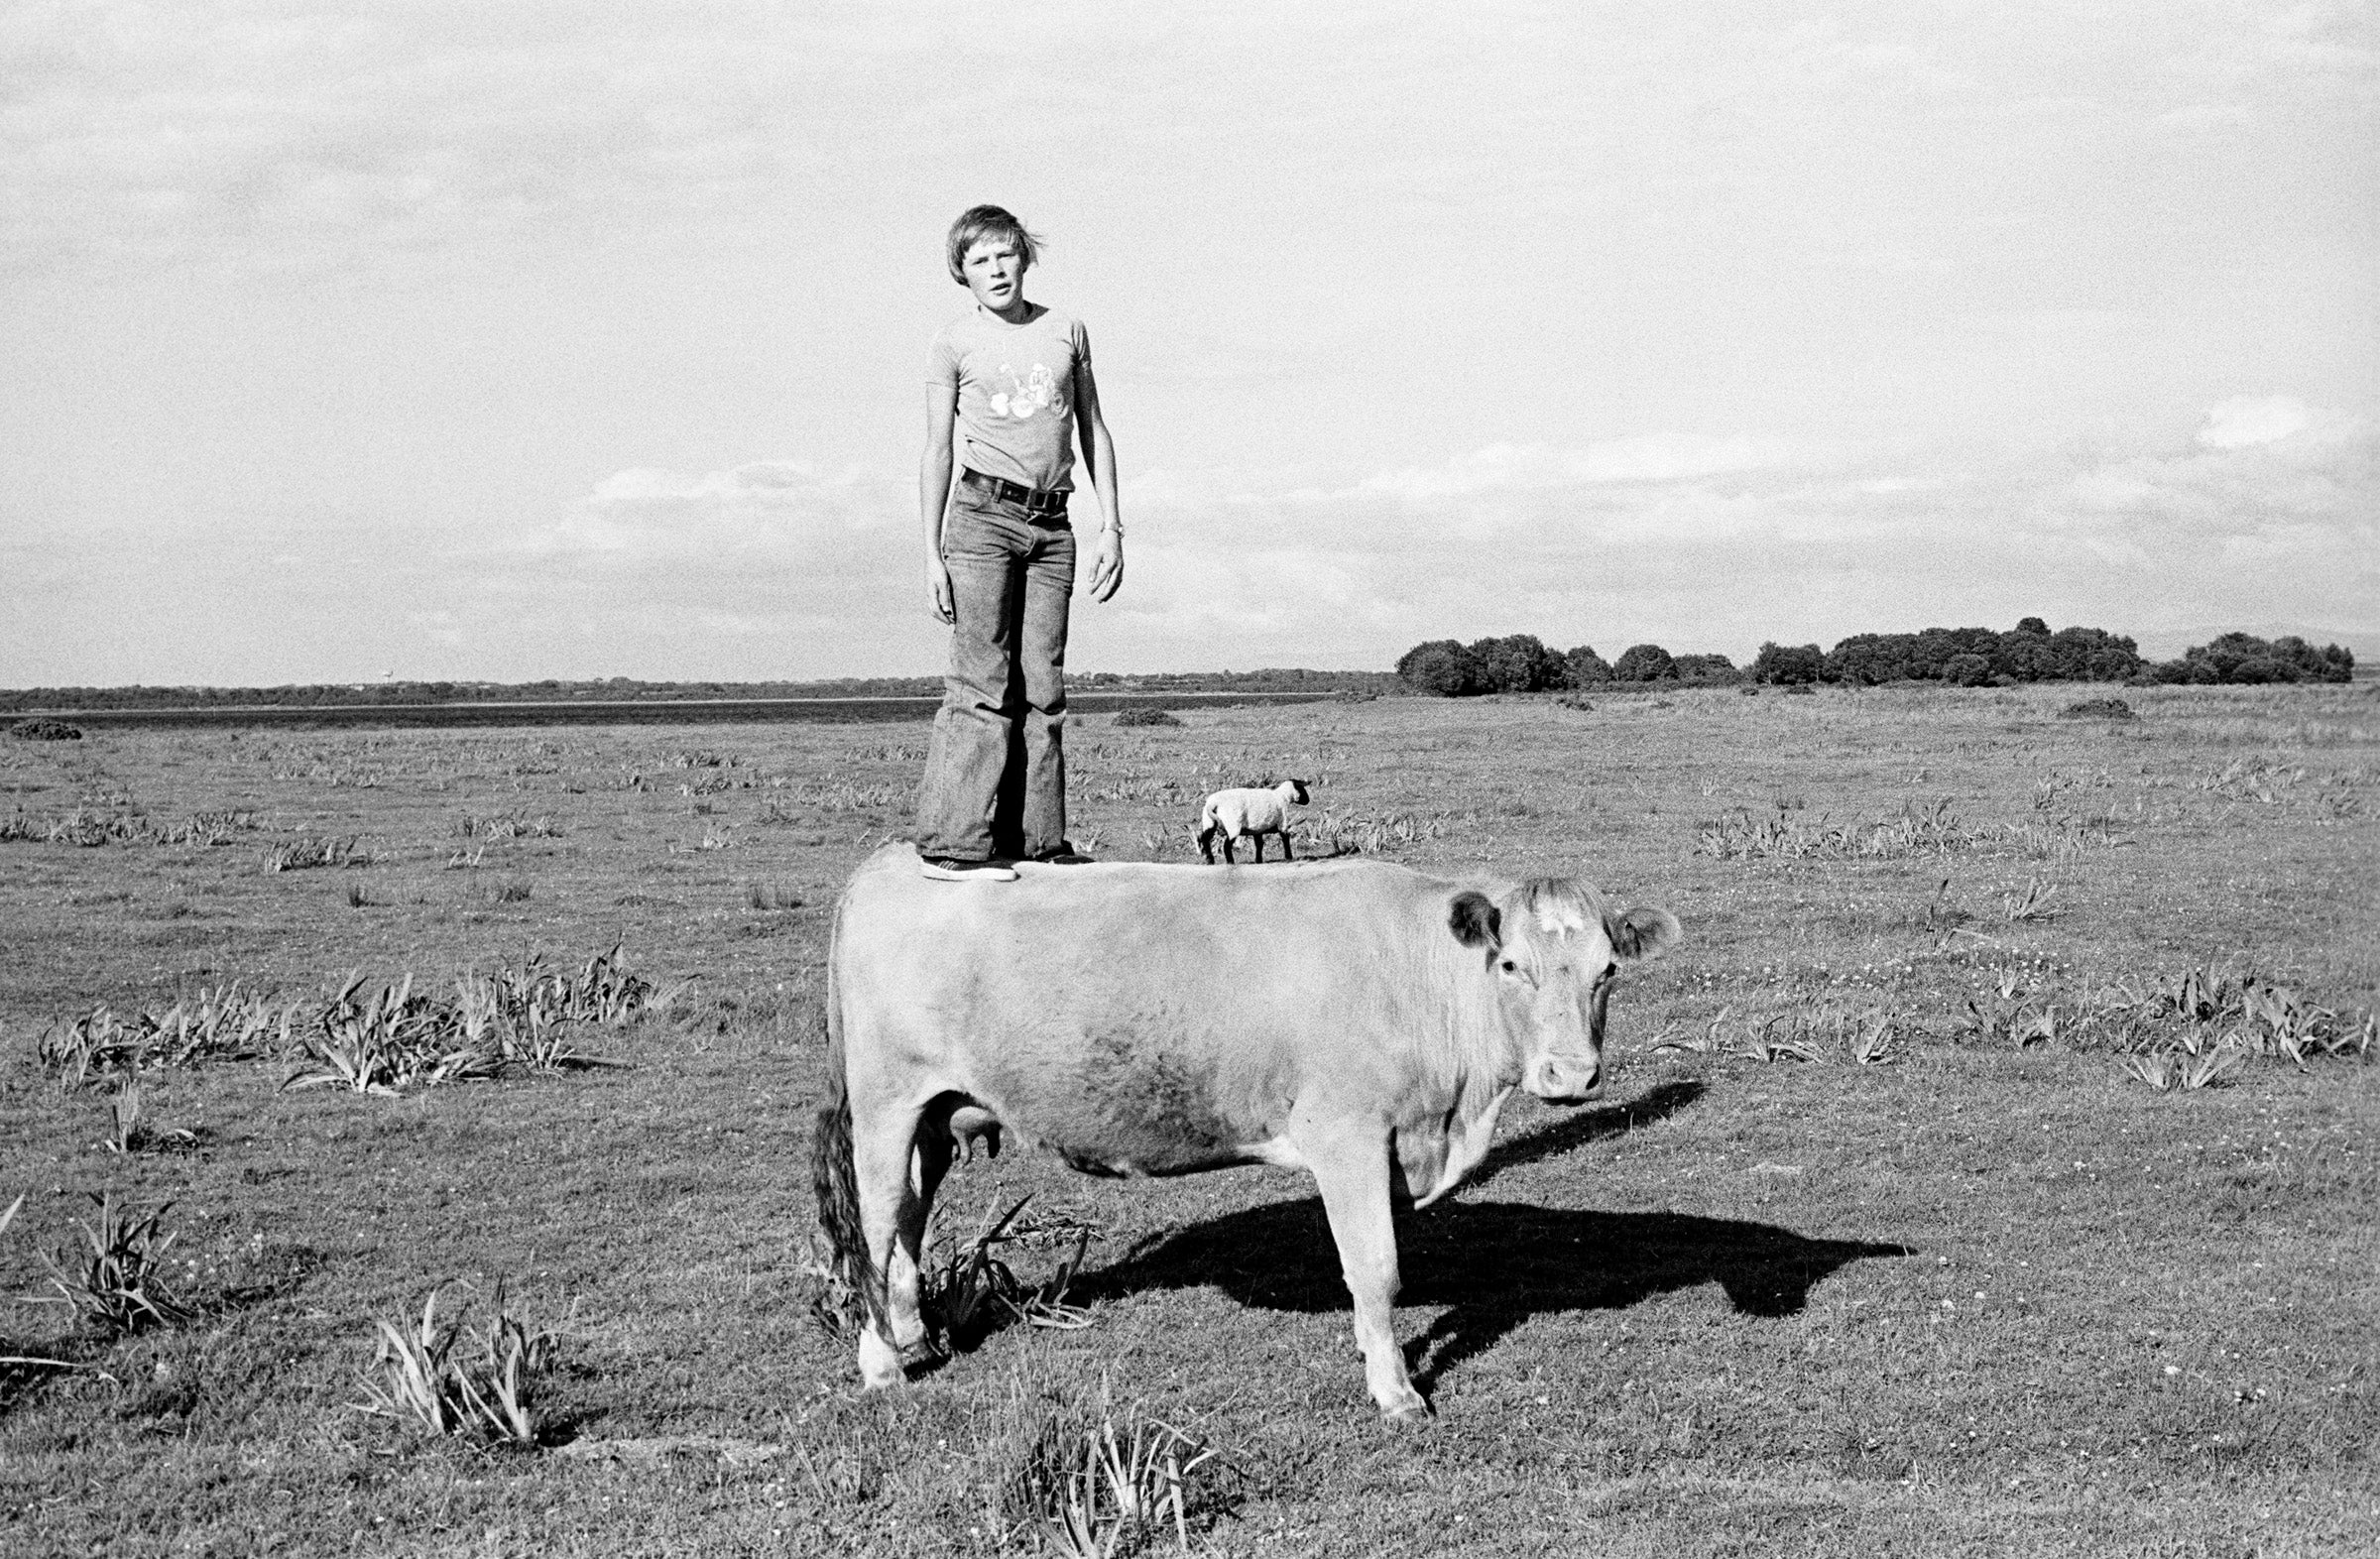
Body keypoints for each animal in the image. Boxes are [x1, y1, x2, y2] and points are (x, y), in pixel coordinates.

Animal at [809, 847, 1685, 1418]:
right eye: (1510, 966)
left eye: (1608, 969)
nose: (1571, 1074)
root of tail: (889, 863)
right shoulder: (1347, 1136)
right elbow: (1377, 1269)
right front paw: (1396, 1392)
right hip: (887, 1104)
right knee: (877, 1227)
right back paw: (882, 1365)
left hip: (932, 1114)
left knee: (908, 1223)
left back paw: (913, 1334)